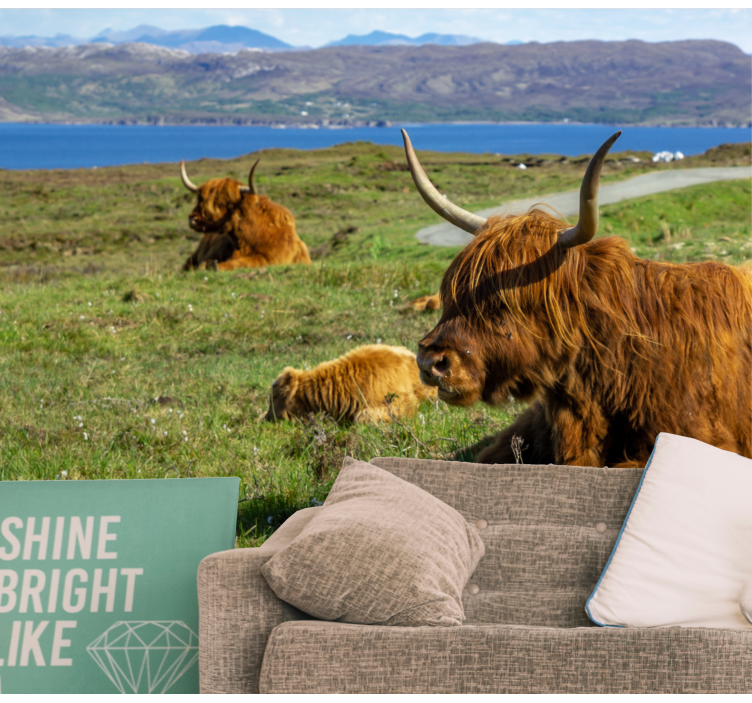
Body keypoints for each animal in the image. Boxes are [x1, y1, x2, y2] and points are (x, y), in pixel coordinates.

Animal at [180, 160, 311, 271]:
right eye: (200, 199)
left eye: (226, 204)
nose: (193, 219)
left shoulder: (273, 258)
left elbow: (245, 262)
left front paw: (214, 266)